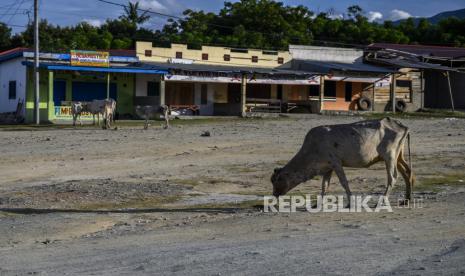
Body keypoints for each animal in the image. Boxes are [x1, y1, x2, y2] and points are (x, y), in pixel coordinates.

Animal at [270, 118, 416, 203]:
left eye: (277, 180)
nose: (274, 194)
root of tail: (402, 125)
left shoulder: (336, 163)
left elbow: (344, 182)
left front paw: (350, 201)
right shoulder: (328, 167)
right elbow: (324, 185)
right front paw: (319, 203)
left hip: (389, 156)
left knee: (393, 177)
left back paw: (382, 200)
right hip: (398, 156)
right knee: (407, 173)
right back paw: (407, 199)